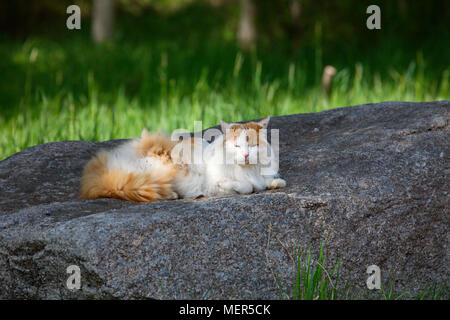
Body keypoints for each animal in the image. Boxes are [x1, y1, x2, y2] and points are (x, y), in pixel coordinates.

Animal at [80, 117, 284, 202]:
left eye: (252, 145)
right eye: (237, 147)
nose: (246, 155)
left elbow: (270, 181)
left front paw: (274, 183)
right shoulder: (217, 183)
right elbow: (247, 186)